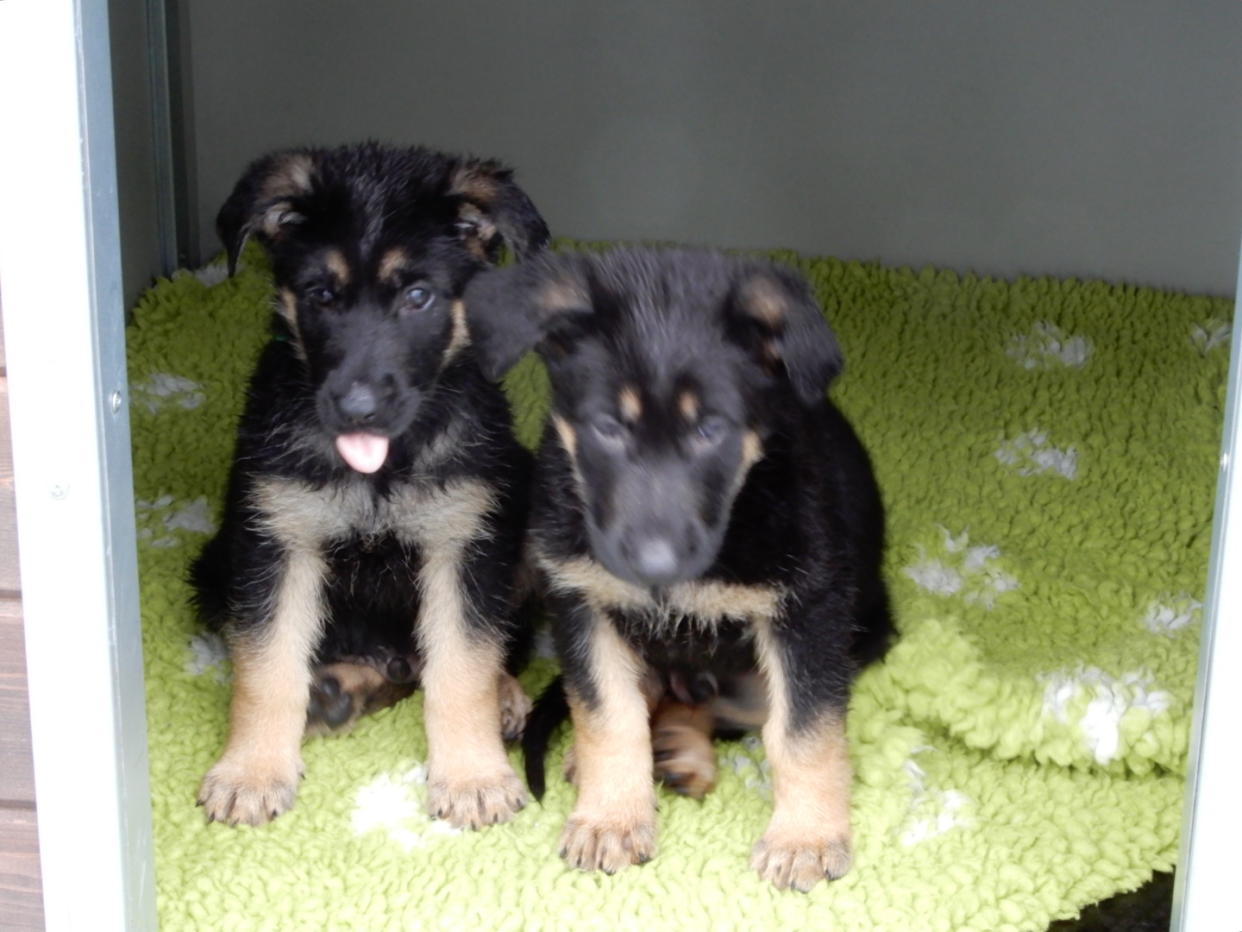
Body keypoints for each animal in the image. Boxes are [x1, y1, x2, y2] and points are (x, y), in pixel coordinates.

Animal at [190, 144, 548, 830]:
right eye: (321, 294)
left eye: (418, 296)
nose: (357, 409)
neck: (381, 471)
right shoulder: (274, 539)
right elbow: (266, 665)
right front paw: (251, 772)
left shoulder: (464, 542)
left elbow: (464, 664)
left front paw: (473, 778)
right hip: (216, 562)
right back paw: (337, 689)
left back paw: (504, 698)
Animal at [466, 246, 894, 889]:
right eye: (608, 426)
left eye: (710, 429)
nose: (653, 565)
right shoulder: (583, 603)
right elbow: (607, 716)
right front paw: (611, 818)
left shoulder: (808, 614)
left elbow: (803, 732)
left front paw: (807, 838)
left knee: (723, 705)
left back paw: (676, 748)